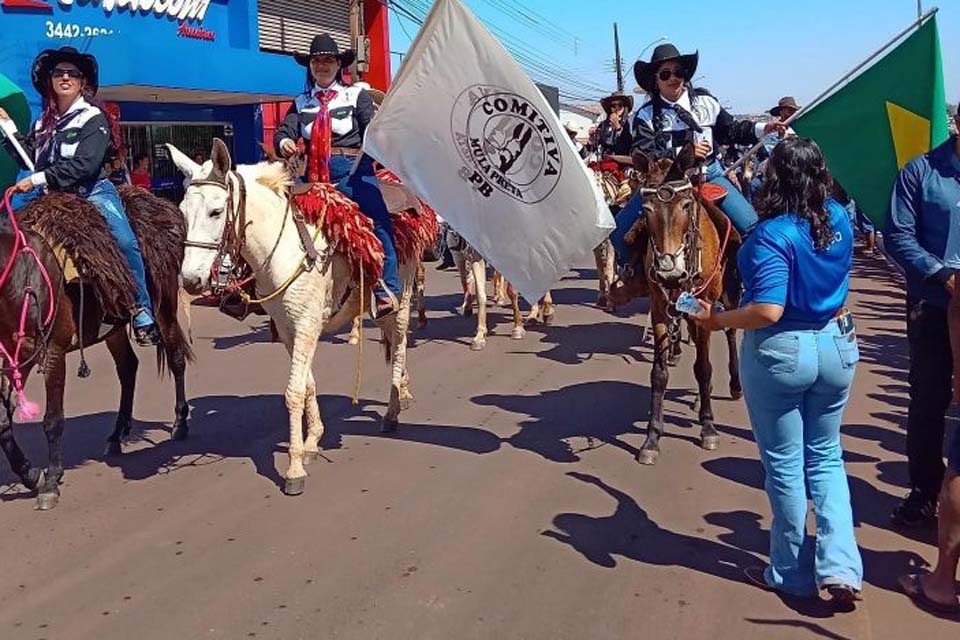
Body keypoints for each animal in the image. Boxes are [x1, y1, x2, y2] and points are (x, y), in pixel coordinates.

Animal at [0, 186, 191, 510]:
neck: (22, 275)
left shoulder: (52, 353)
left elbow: (53, 420)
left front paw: (51, 481)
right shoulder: (14, 357)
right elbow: (2, 423)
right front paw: (31, 474)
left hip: (165, 307)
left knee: (176, 357)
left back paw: (180, 422)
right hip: (112, 328)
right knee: (128, 368)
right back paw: (116, 435)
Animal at [172, 140, 416, 496]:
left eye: (216, 212)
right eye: (182, 211)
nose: (190, 280)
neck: (288, 247)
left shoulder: (306, 326)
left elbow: (293, 393)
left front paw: (294, 468)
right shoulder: (290, 330)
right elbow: (307, 385)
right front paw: (312, 440)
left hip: (403, 297)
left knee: (399, 343)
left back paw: (393, 410)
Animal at [628, 144, 748, 464]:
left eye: (685, 205)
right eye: (646, 209)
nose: (669, 271)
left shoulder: (704, 304)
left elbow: (704, 367)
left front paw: (708, 427)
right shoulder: (659, 306)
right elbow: (659, 373)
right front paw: (652, 438)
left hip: (727, 293)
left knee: (729, 333)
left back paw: (732, 386)